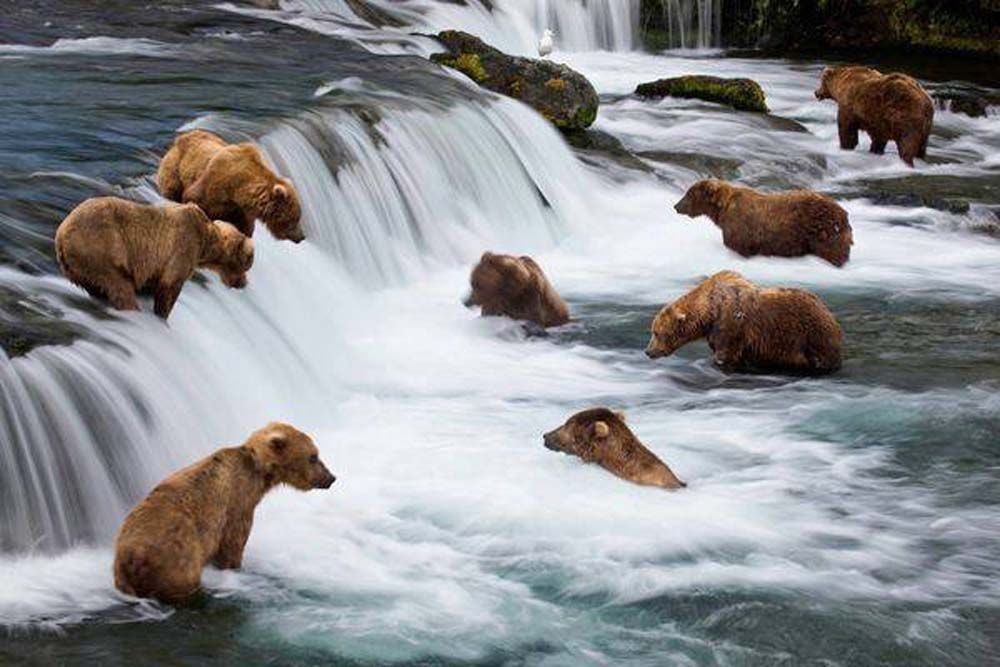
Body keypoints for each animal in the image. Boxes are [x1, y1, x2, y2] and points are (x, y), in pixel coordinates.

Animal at [55, 197, 254, 319]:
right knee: (119, 286)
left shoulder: (155, 265)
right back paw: (132, 310)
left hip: (79, 267)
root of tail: (60, 235)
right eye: (246, 264)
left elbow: (152, 284)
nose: (243, 284)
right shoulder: (183, 246)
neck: (205, 242)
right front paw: (162, 315)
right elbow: (170, 286)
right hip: (100, 249)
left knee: (98, 288)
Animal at [113, 422, 336, 604]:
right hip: (179, 558)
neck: (260, 475)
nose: (331, 477)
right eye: (313, 456)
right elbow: (233, 545)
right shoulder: (238, 506)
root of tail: (132, 558)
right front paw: (235, 568)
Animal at [157, 129, 305, 243]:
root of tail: (182, 136)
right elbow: (193, 198)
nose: (301, 236)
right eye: (294, 218)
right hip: (174, 167)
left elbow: (245, 230)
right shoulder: (212, 186)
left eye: (298, 216)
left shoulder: (239, 211)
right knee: (171, 190)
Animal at [645, 270, 843, 375]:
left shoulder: (730, 326)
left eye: (656, 332)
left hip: (811, 334)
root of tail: (829, 313)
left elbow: (725, 354)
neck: (710, 311)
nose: (648, 351)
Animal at [674, 180, 853, 267]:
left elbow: (737, 246)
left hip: (822, 230)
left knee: (832, 251)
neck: (722, 209)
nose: (676, 206)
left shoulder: (740, 228)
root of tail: (843, 214)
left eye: (688, 194)